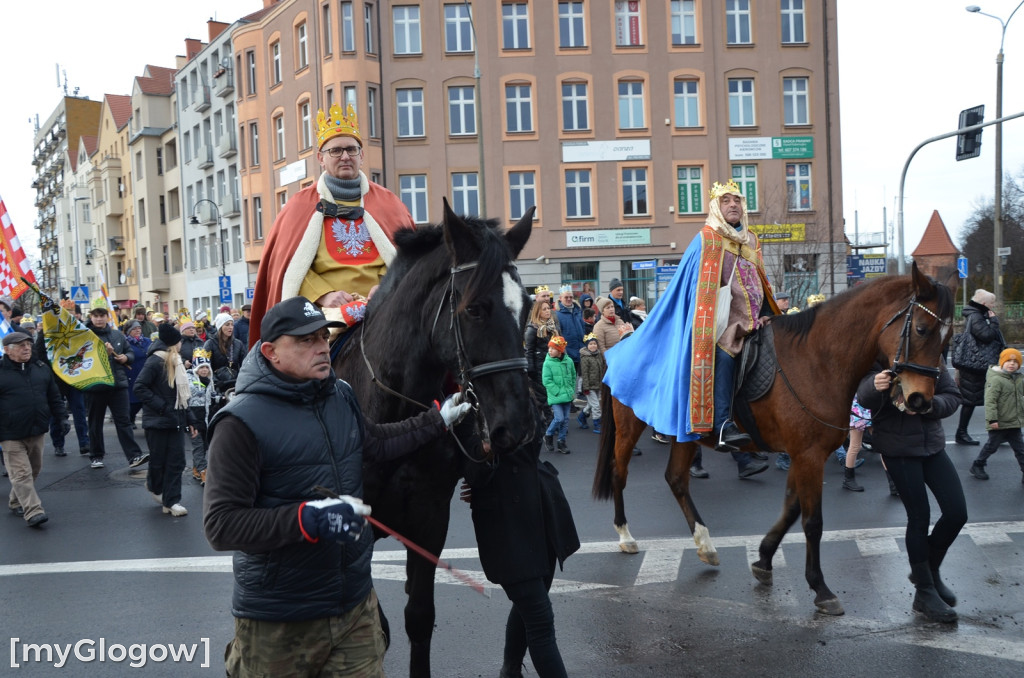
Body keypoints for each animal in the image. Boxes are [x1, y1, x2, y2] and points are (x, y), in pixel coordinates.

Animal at [333, 199, 536, 675]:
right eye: (475, 309)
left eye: (527, 307)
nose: (516, 425)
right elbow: (374, 621)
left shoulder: (429, 520)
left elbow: (419, 618)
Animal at [598, 264, 954, 614]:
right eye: (921, 329)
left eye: (947, 337)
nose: (920, 400)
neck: (816, 360)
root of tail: (620, 345)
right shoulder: (809, 455)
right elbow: (812, 521)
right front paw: (820, 588)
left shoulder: (805, 454)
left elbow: (791, 509)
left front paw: (764, 559)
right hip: (630, 426)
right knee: (619, 473)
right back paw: (625, 535)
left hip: (683, 434)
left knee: (676, 480)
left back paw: (705, 545)